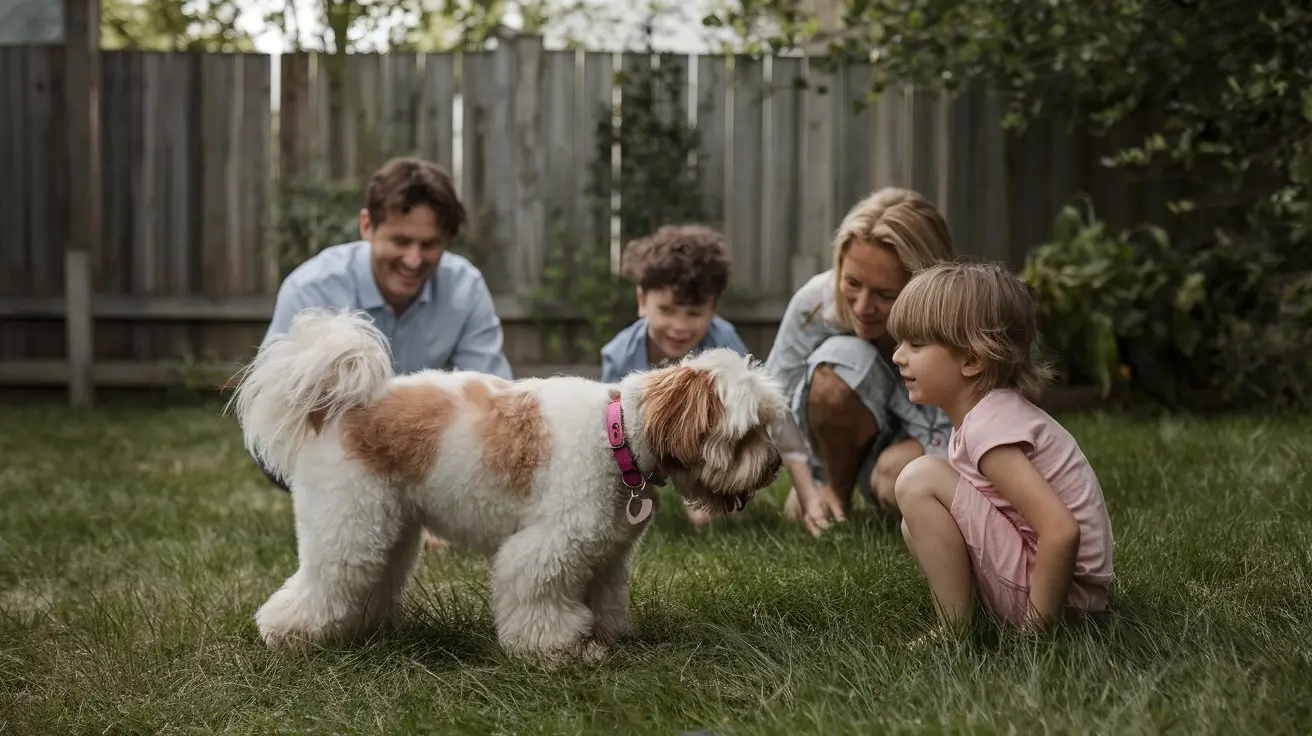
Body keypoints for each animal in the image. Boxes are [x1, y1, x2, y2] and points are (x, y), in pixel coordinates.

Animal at [225, 306, 781, 663]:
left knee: (367, 581)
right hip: (348, 524)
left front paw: (603, 640)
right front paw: (554, 647)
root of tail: (336, 406)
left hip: (386, 527)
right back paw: (286, 637)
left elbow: (605, 599)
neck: (616, 434)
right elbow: (538, 596)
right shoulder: (545, 547)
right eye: (747, 434)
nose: (774, 465)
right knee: (318, 584)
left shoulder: (606, 555)